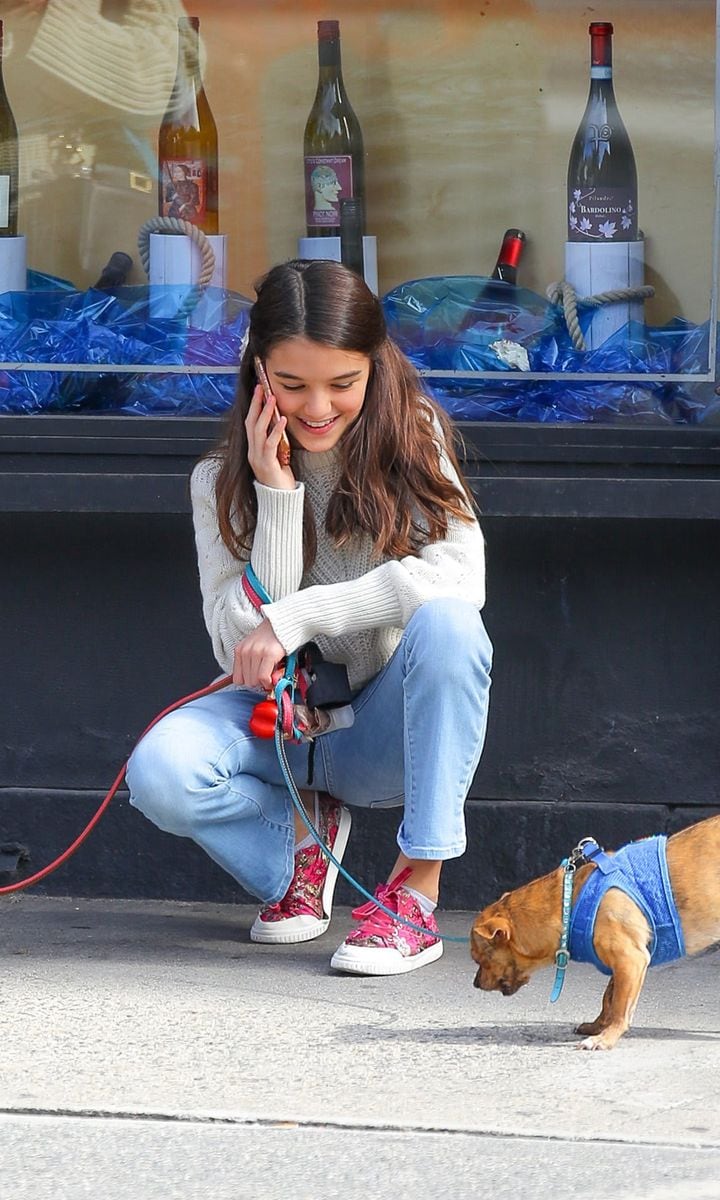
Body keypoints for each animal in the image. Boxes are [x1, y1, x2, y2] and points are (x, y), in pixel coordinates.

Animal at [470, 816, 715, 1051]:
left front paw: (606, 1037)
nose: (475, 984)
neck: (569, 902)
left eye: (479, 959)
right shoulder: (622, 966)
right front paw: (598, 1025)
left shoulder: (630, 960)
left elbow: (620, 1008)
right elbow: (609, 998)